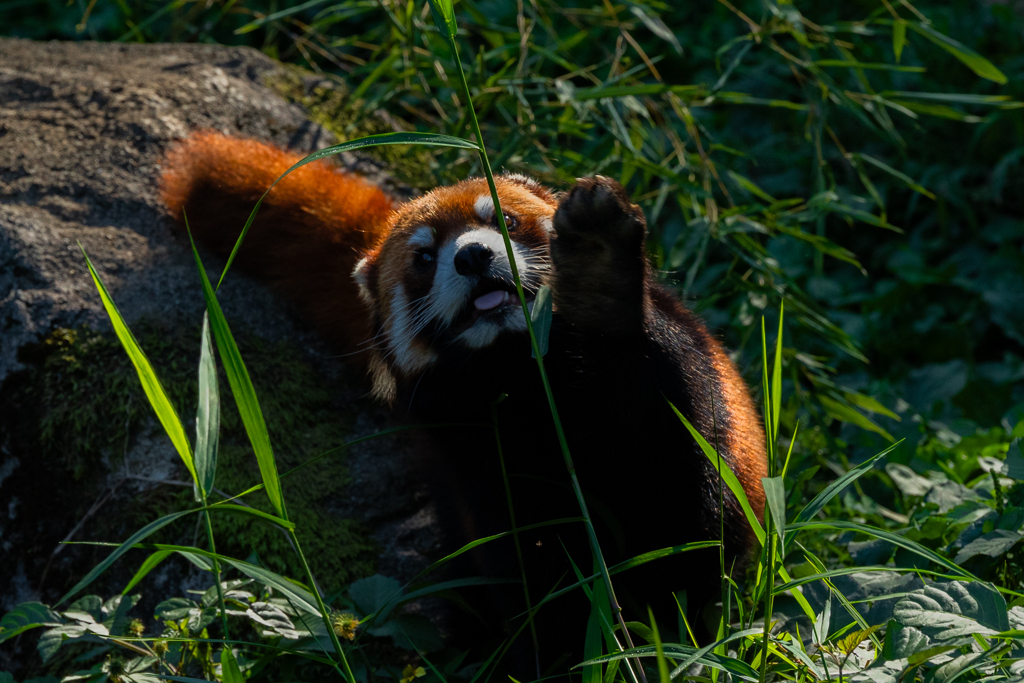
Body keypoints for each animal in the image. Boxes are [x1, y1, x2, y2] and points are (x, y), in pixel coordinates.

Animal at [161, 131, 770, 671]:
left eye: (506, 221)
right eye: (424, 259)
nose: (473, 257)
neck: (530, 376)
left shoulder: (682, 402)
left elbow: (684, 475)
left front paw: (600, 273)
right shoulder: (483, 468)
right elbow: (539, 581)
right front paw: (563, 655)